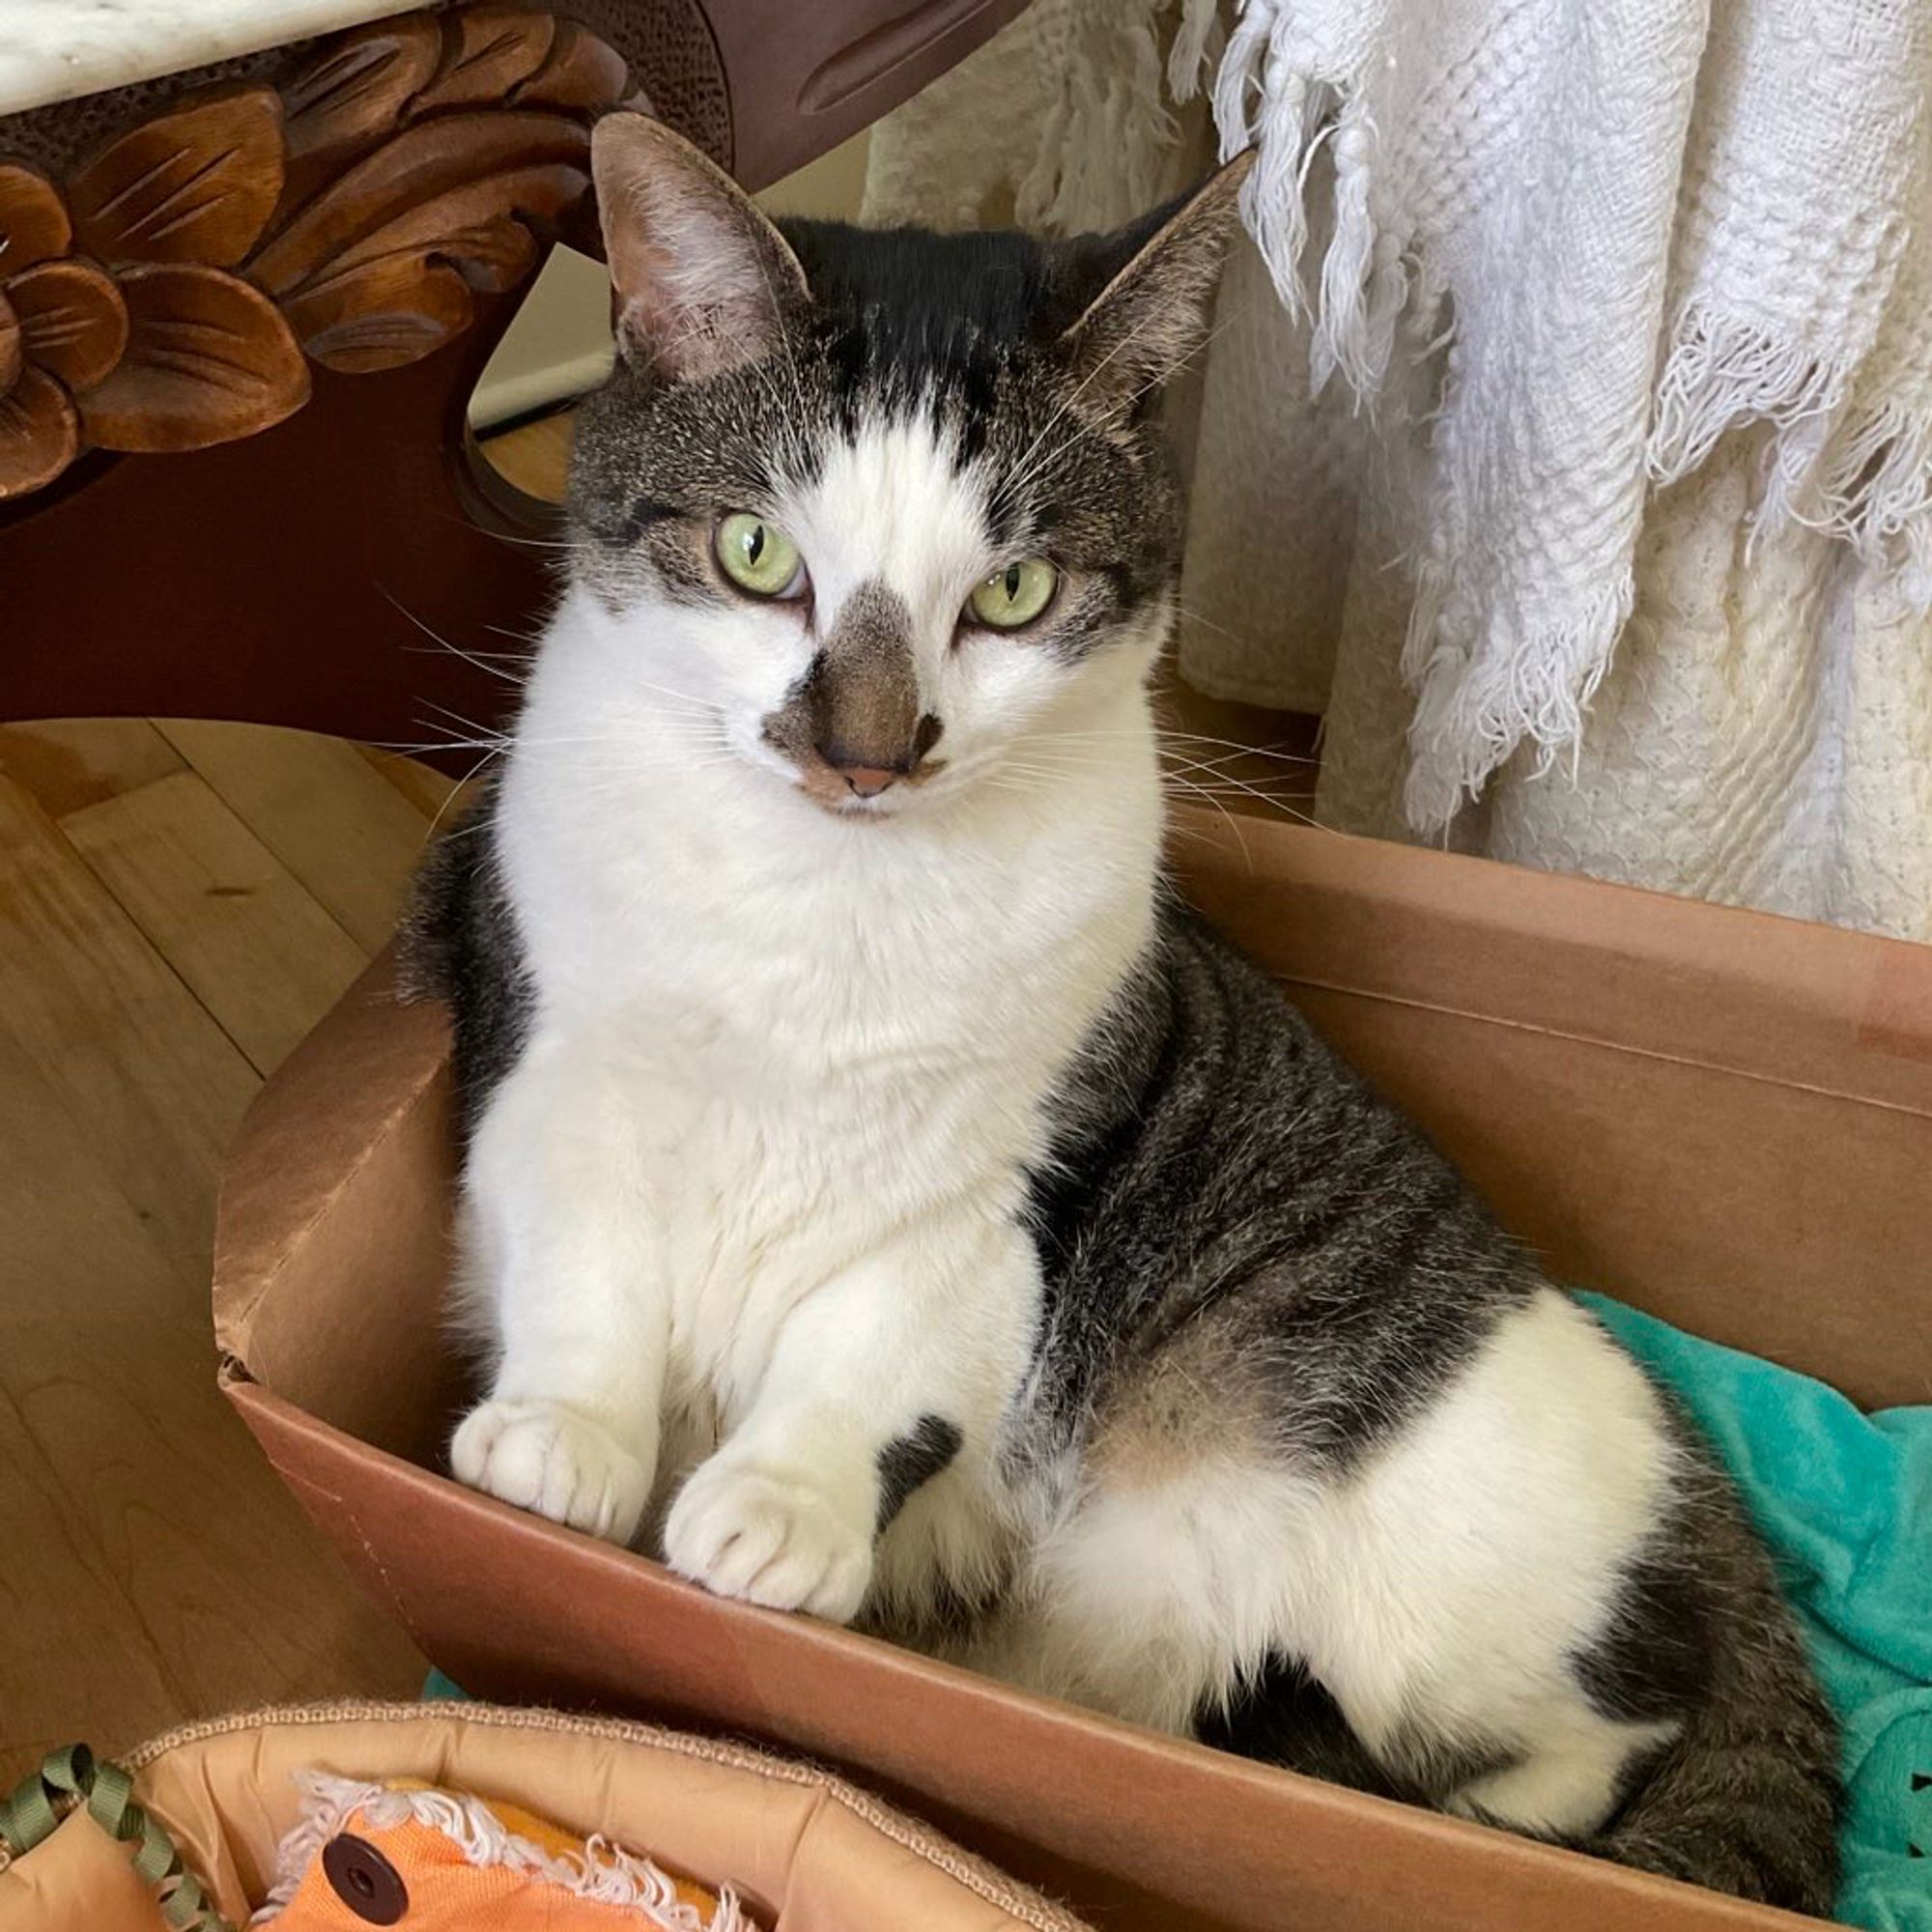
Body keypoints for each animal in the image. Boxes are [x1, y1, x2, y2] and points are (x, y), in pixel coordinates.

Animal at [408, 109, 1839, 1917]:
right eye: (756, 556)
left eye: (1013, 594)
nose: (868, 753)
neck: (824, 912)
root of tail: (1710, 1503)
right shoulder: (550, 1070)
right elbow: (585, 1266)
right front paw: (566, 1438)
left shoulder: (997, 1194)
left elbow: (872, 1341)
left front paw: (782, 1507)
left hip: (1442, 1557)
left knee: (1601, 1741)